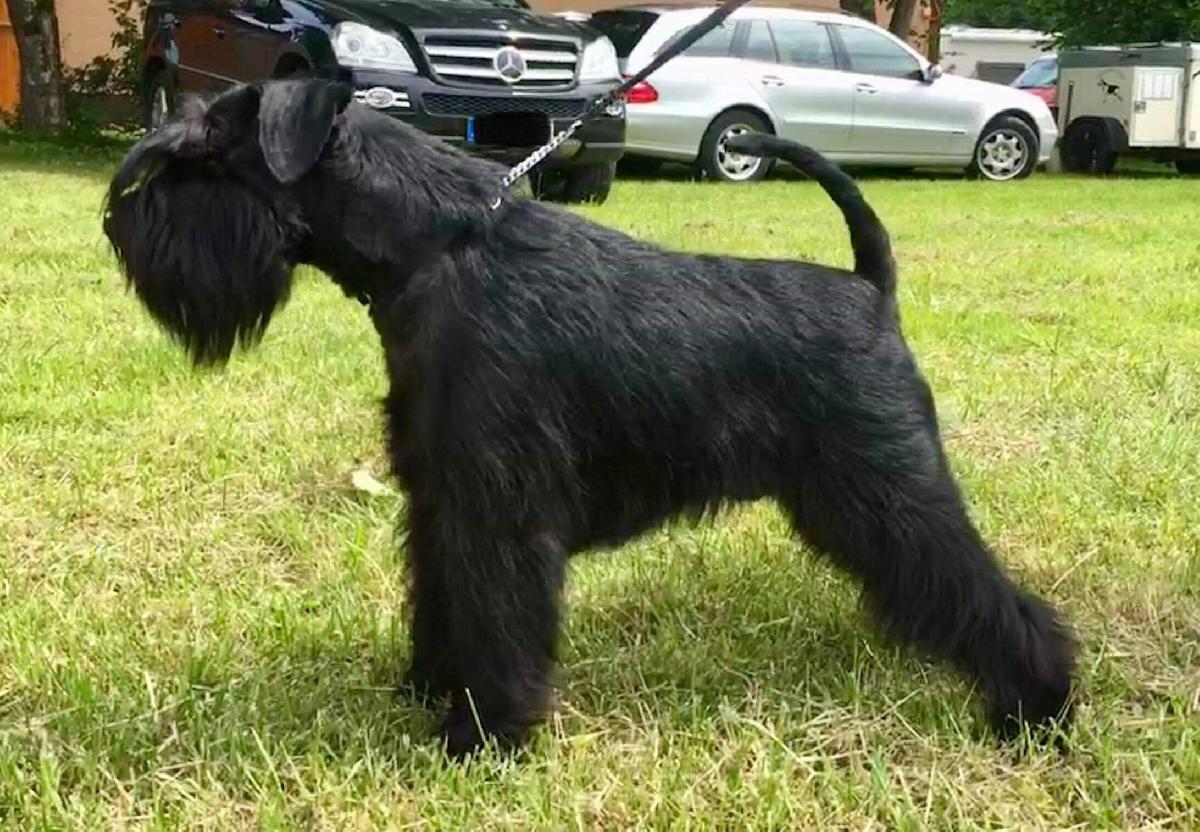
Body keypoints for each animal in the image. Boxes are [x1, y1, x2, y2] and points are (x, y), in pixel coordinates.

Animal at [104, 79, 1075, 757]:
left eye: (204, 157)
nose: (120, 225)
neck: (436, 248)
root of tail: (871, 290)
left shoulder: (501, 514)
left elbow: (498, 621)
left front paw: (483, 739)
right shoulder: (439, 497)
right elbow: (441, 598)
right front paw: (429, 690)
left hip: (887, 491)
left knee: (994, 597)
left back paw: (1039, 710)